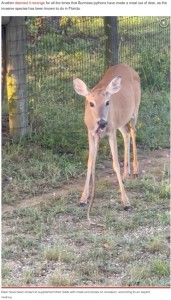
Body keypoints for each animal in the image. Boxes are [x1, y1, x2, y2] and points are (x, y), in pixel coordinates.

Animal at [73, 63, 141, 227]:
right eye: (91, 103)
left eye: (107, 102)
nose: (102, 122)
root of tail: (128, 66)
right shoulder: (91, 133)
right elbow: (90, 163)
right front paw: (83, 199)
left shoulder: (110, 131)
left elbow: (115, 163)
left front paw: (126, 202)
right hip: (120, 121)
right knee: (126, 134)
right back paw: (125, 175)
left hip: (134, 111)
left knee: (133, 132)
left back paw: (135, 171)